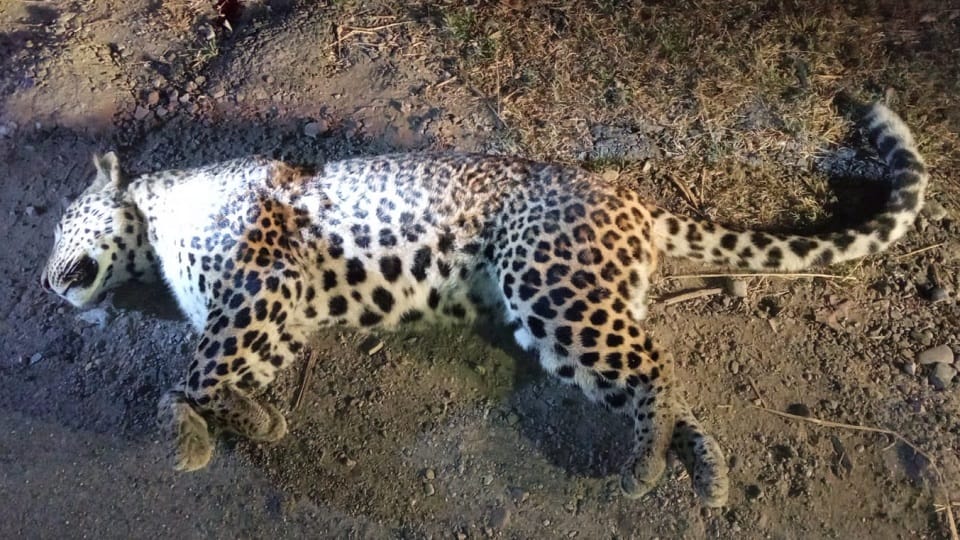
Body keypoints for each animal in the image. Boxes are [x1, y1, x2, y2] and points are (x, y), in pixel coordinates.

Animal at [40, 99, 927, 507]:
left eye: (58, 228)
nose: (47, 281)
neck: (155, 217)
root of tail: (628, 197)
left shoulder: (258, 287)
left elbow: (192, 371)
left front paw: (188, 434)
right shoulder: (278, 312)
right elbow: (231, 371)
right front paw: (253, 420)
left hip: (553, 289)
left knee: (655, 366)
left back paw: (644, 466)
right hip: (588, 302)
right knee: (666, 381)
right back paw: (704, 471)